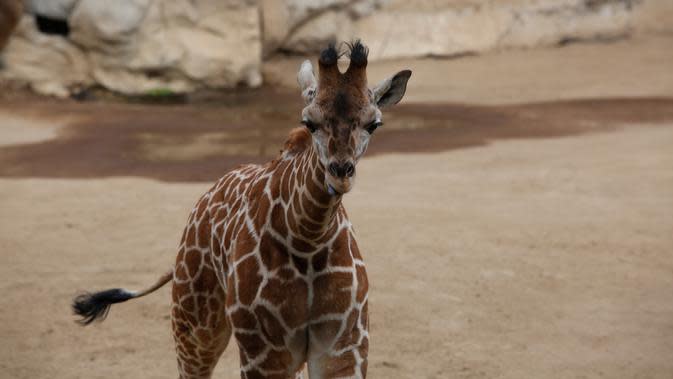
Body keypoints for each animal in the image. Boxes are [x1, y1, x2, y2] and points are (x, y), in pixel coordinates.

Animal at [72, 41, 410, 379]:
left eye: (374, 124)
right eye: (309, 122)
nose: (340, 173)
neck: (308, 239)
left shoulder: (344, 344)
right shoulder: (263, 351)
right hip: (194, 325)